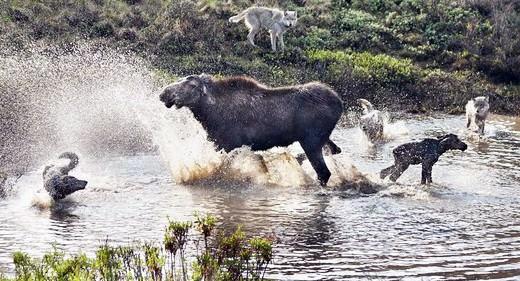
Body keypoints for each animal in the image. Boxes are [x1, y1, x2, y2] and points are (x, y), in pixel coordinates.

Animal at [160, 73, 344, 185]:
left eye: (190, 84)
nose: (164, 93)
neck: (208, 115)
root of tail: (340, 103)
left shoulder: (230, 145)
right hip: (320, 138)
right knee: (336, 150)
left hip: (311, 140)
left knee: (324, 172)